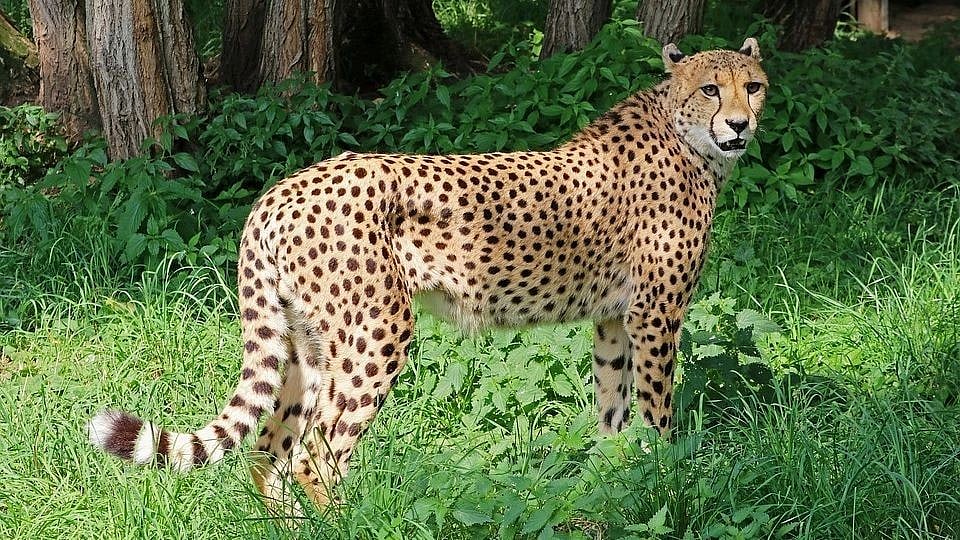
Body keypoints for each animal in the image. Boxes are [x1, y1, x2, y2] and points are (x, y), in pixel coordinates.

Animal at [88, 38, 768, 512]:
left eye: (754, 86)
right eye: (711, 89)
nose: (740, 124)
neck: (688, 139)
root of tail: (282, 189)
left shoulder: (612, 320)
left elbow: (614, 408)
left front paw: (616, 476)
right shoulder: (655, 317)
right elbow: (657, 413)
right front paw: (664, 475)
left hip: (308, 343)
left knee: (269, 447)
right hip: (376, 332)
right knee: (316, 454)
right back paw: (345, 523)